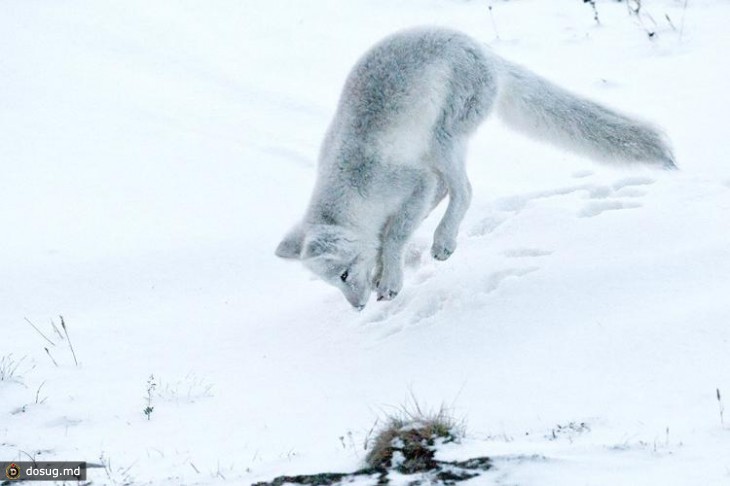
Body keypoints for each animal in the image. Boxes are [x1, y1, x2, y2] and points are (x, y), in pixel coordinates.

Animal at [276, 27, 672, 308]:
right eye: (333, 281)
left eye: (343, 274)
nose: (357, 307)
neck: (353, 191)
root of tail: (484, 50)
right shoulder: (409, 189)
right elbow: (391, 233)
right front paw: (382, 271)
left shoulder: (411, 181)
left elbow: (395, 233)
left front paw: (389, 280)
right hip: (438, 147)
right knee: (447, 189)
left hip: (444, 139)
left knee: (463, 189)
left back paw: (443, 241)